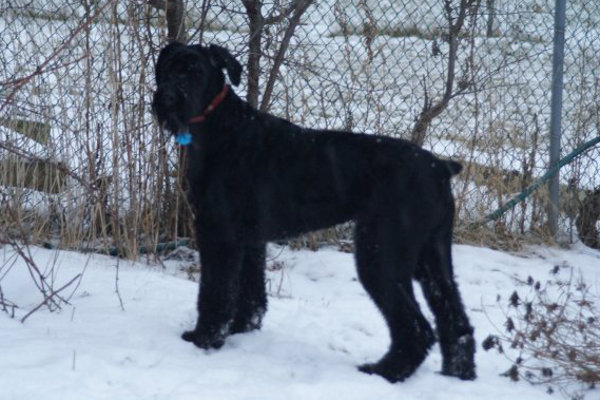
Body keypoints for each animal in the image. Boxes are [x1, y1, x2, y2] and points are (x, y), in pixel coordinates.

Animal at [152, 42, 476, 382]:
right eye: (169, 67)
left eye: (195, 71)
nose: (169, 97)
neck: (220, 126)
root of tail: (440, 168)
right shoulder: (251, 239)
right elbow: (250, 293)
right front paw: (242, 330)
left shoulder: (219, 234)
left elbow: (214, 291)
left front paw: (204, 338)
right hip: (433, 255)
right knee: (455, 319)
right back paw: (457, 374)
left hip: (381, 254)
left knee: (417, 327)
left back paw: (384, 371)